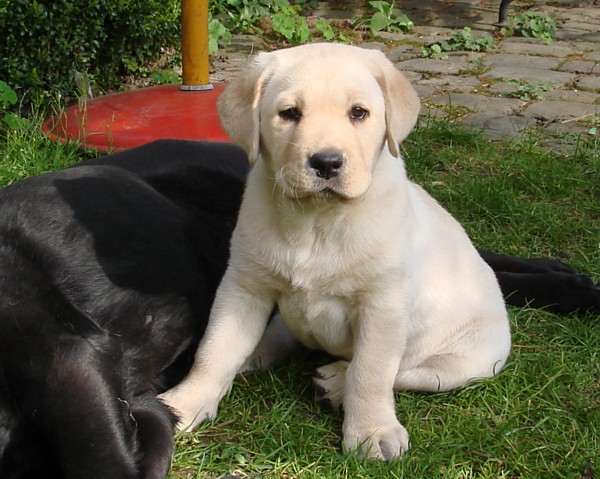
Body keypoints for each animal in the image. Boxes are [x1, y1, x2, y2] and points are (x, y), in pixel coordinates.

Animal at [161, 44, 510, 462]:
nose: (326, 162)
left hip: (465, 362)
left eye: (358, 113)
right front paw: (185, 403)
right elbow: (214, 350)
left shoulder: (382, 305)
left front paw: (372, 431)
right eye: (289, 113)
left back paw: (335, 381)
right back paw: (257, 354)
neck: (316, 221)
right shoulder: (244, 286)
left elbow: (371, 372)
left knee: (401, 372)